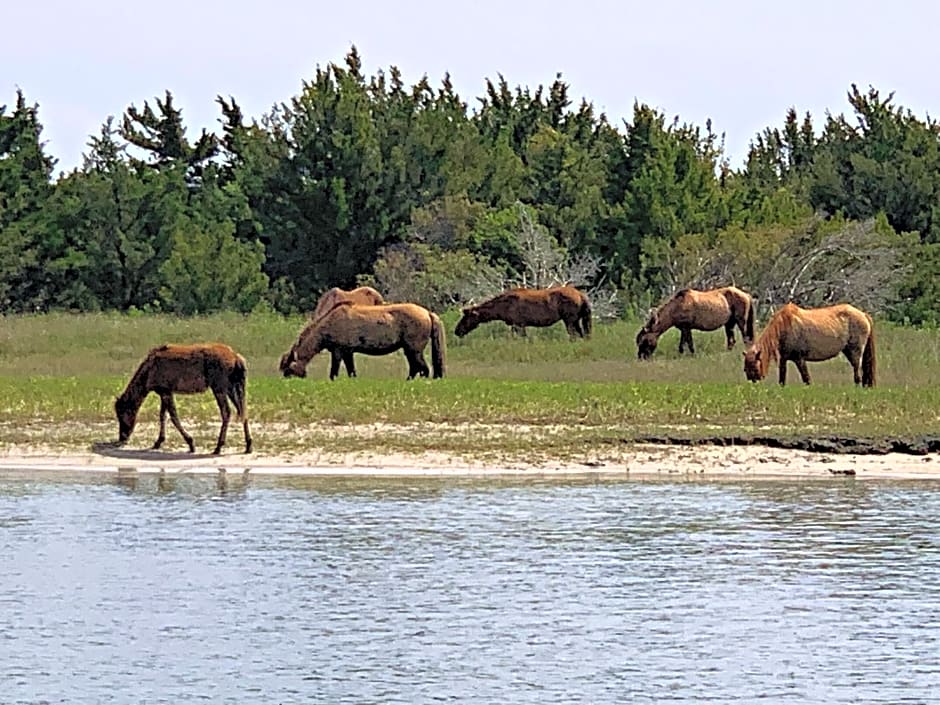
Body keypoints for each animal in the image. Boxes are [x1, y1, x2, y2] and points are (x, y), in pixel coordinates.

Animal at [114, 344, 253, 454]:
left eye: (121, 415)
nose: (122, 438)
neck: (149, 369)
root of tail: (235, 357)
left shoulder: (166, 392)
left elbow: (173, 417)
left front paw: (190, 443)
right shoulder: (165, 393)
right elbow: (163, 415)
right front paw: (158, 442)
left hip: (219, 390)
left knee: (226, 413)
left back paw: (218, 447)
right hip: (231, 389)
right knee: (243, 412)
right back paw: (248, 445)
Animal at [278, 302, 446, 380]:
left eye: (289, 369)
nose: (286, 381)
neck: (330, 322)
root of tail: (428, 313)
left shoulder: (338, 352)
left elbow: (334, 372)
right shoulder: (348, 353)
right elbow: (351, 371)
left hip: (414, 350)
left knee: (423, 369)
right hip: (409, 350)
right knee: (415, 368)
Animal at [452, 288, 592, 340]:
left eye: (465, 317)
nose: (457, 331)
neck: (502, 306)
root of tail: (581, 295)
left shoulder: (518, 324)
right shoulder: (517, 325)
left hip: (569, 320)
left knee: (574, 336)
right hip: (576, 320)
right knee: (583, 335)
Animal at [744, 302, 876, 388]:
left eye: (754, 366)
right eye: (745, 368)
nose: (753, 384)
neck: (784, 326)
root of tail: (863, 314)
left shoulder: (799, 359)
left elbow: (806, 378)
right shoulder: (783, 359)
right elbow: (782, 378)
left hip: (855, 352)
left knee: (857, 371)